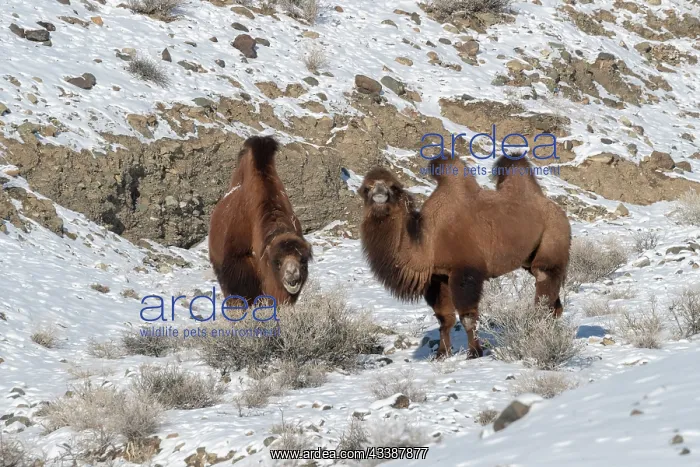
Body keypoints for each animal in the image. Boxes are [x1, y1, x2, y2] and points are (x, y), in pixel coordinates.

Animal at [359, 155, 571, 358]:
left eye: (393, 187)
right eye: (366, 188)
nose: (379, 193)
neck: (428, 241)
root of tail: (556, 208)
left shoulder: (465, 272)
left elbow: (468, 317)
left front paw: (474, 353)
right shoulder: (438, 277)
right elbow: (444, 319)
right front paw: (441, 354)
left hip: (553, 236)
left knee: (544, 282)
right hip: (528, 258)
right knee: (553, 300)